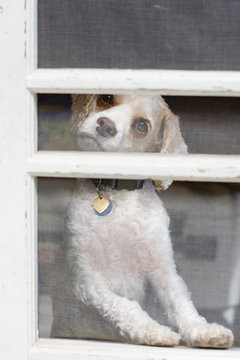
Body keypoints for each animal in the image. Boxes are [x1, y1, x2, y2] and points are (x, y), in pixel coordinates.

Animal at [50, 94, 232, 348]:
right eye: (106, 98)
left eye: (141, 126)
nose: (105, 125)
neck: (118, 198)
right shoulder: (88, 280)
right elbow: (127, 306)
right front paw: (155, 332)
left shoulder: (162, 268)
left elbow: (181, 302)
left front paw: (203, 331)